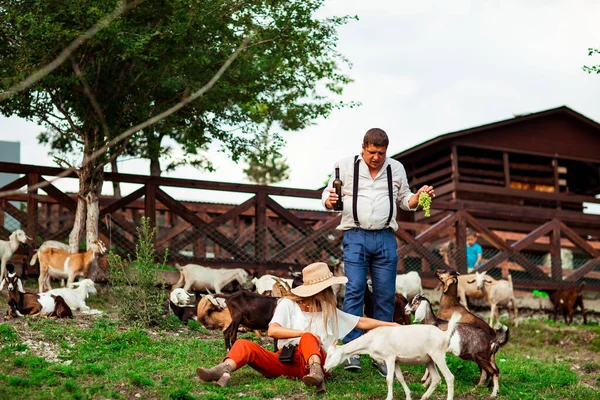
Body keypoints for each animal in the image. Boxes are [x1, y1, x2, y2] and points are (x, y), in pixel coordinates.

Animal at [324, 312, 460, 400]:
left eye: (330, 355)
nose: (325, 368)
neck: (371, 341)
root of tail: (445, 334)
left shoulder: (389, 357)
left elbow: (389, 379)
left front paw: (389, 397)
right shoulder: (396, 360)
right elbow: (400, 378)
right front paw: (408, 396)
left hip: (438, 355)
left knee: (449, 377)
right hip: (429, 359)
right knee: (436, 379)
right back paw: (424, 397)